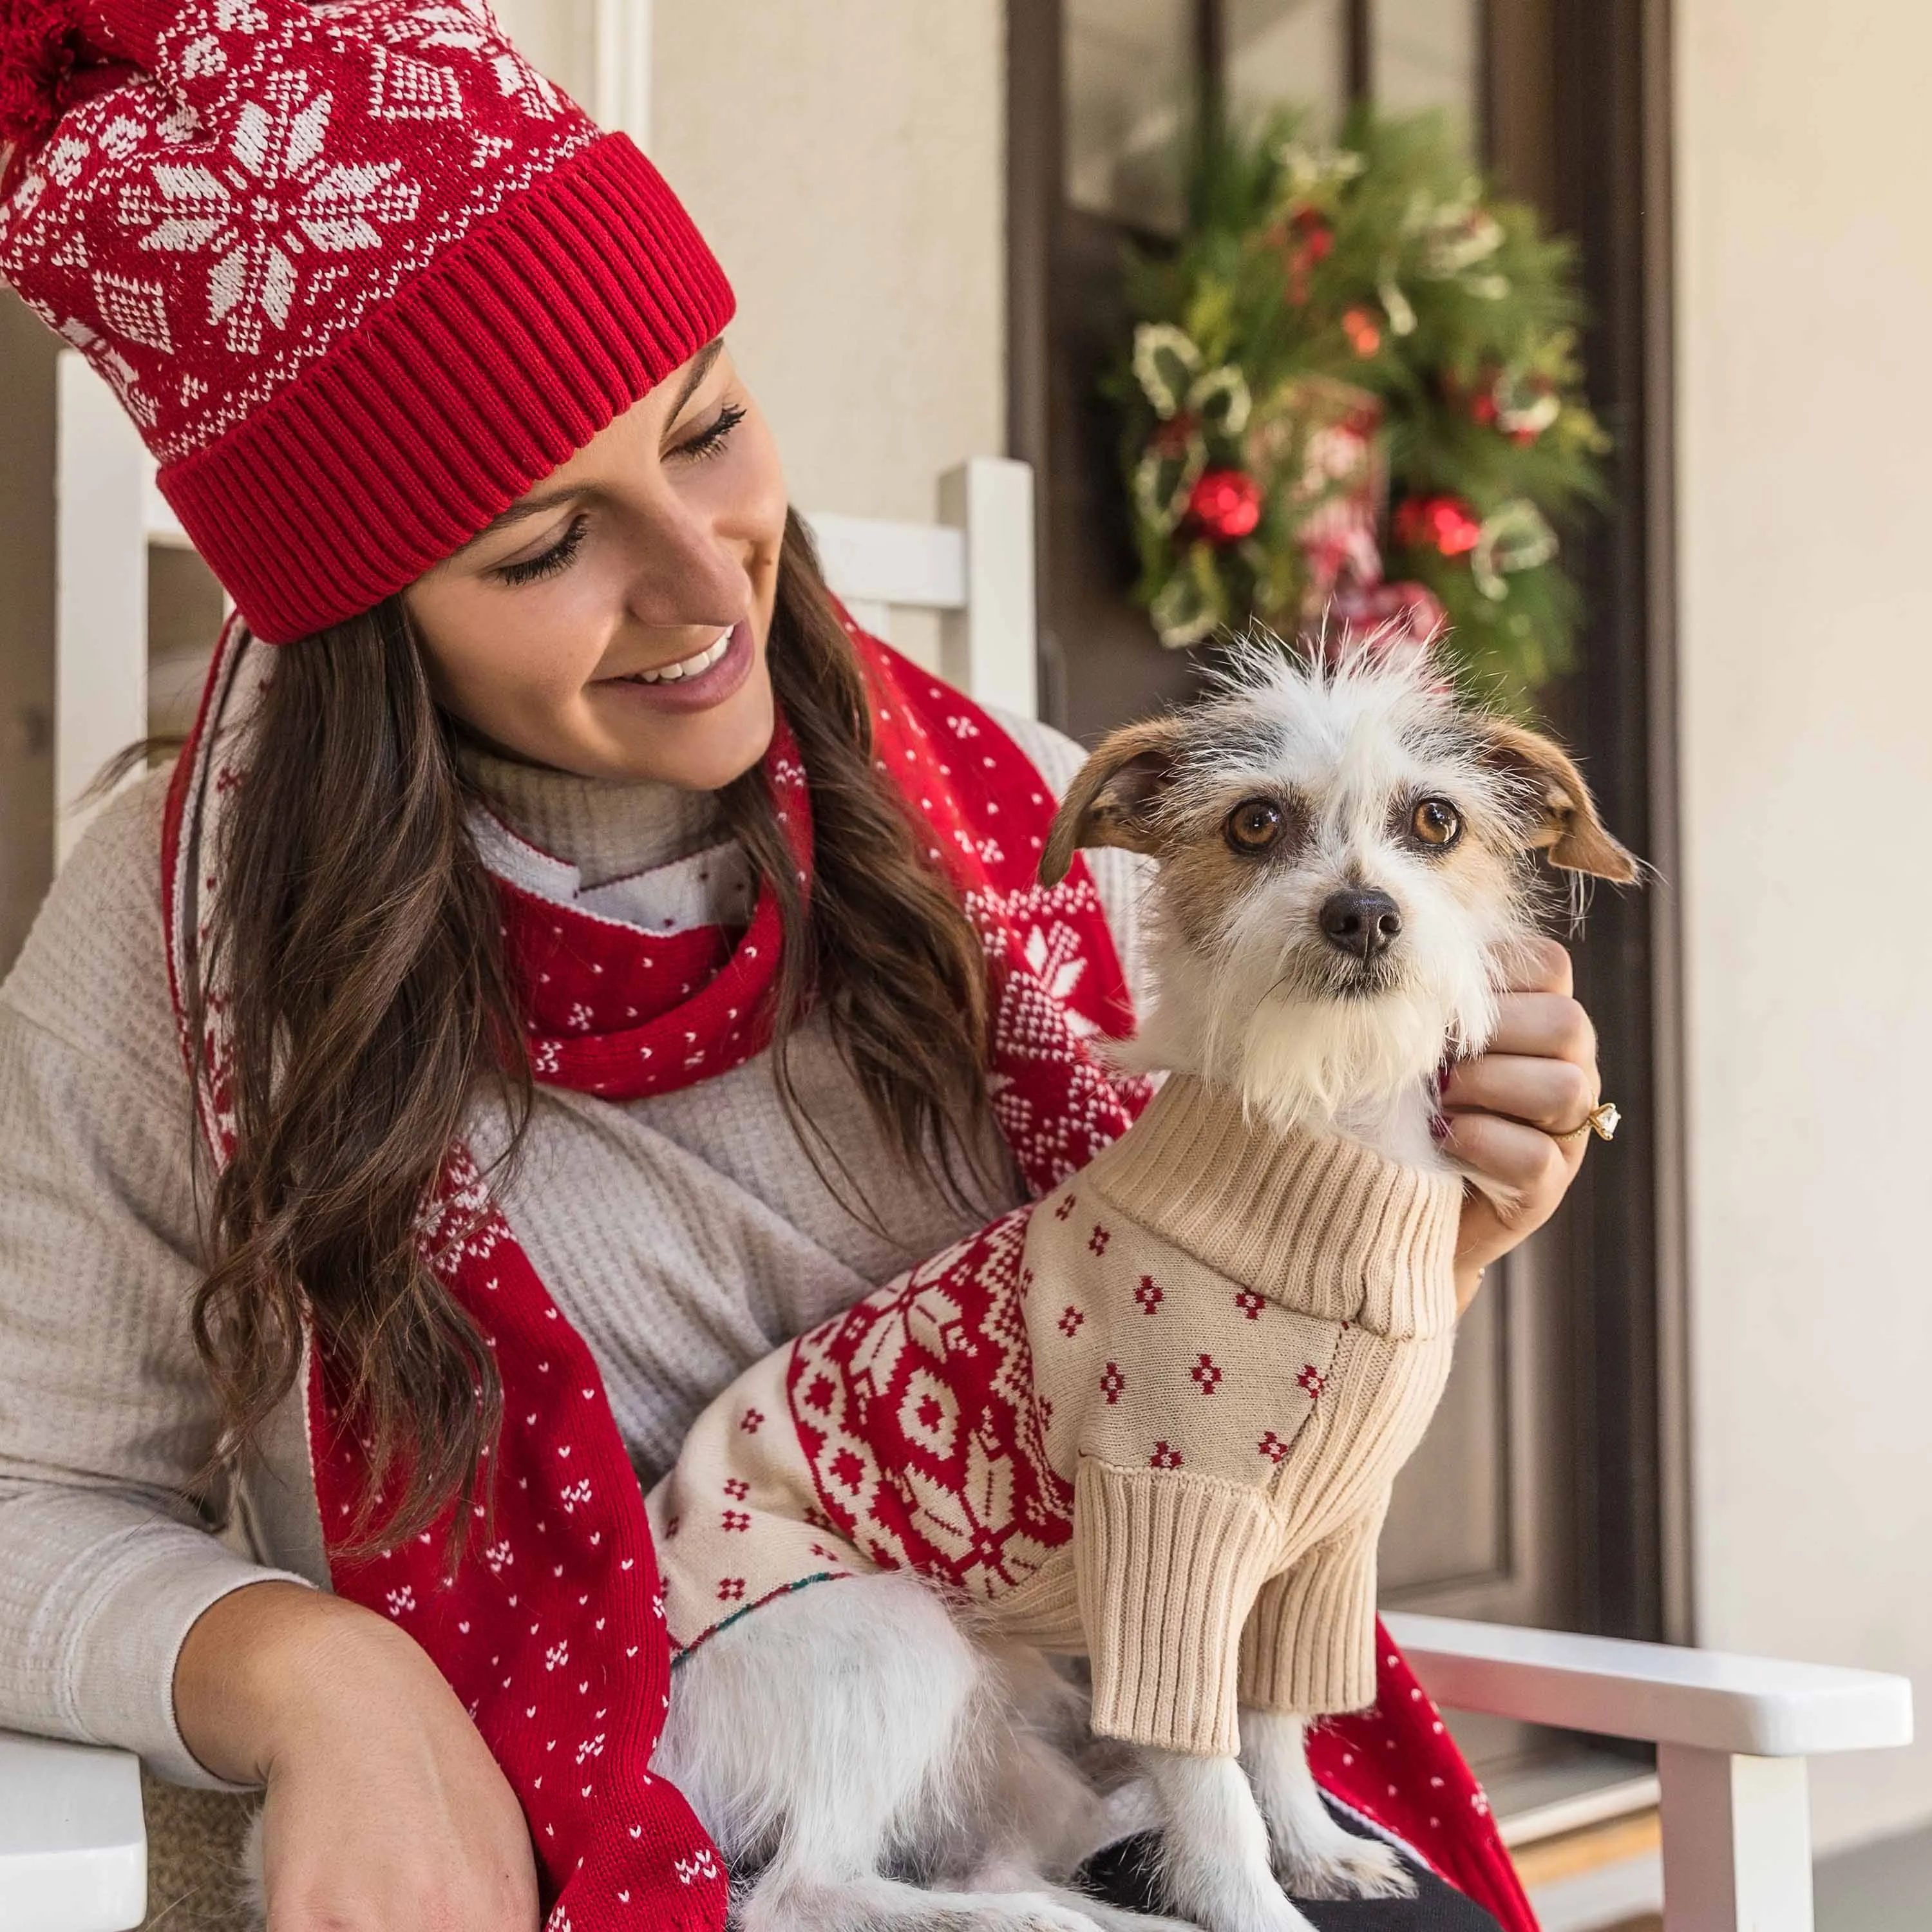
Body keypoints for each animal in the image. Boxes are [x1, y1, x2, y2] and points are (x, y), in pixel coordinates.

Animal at [653, 638, 1631, 1932]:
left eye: (1436, 820)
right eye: (1256, 822)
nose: (1362, 913)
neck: (1323, 1153)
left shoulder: (1316, 1552)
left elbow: (1271, 1729)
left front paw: (1315, 1851)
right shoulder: (1162, 1538)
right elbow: (1212, 1784)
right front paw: (1264, 1905)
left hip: (1005, 1727)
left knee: (995, 1850)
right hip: (889, 1636)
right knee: (801, 1893)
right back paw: (1033, 1916)